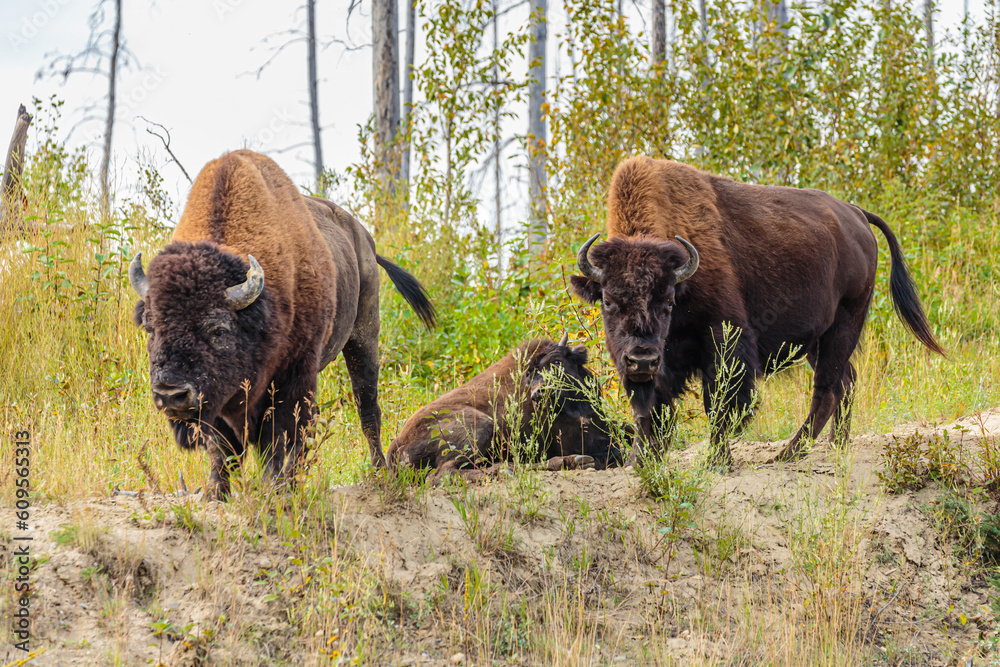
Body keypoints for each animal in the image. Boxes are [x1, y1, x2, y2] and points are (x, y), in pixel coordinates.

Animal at [130, 149, 434, 498]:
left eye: (218, 329)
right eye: (150, 328)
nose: (171, 395)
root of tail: (365, 239)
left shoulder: (291, 375)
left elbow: (277, 435)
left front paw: (273, 486)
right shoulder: (219, 398)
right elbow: (222, 447)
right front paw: (217, 492)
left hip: (363, 336)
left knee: (365, 406)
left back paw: (378, 471)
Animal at [386, 336, 620, 482]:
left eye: (556, 361)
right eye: (528, 374)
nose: (538, 394)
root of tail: (396, 445)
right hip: (480, 427)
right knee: (442, 474)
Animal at [572, 157, 944, 470]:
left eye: (668, 301)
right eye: (608, 301)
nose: (641, 359)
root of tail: (856, 214)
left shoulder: (723, 339)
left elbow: (718, 402)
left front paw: (717, 461)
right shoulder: (657, 366)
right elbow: (650, 409)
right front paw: (641, 460)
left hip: (845, 323)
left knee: (827, 389)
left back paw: (789, 453)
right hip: (817, 340)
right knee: (846, 380)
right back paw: (835, 446)